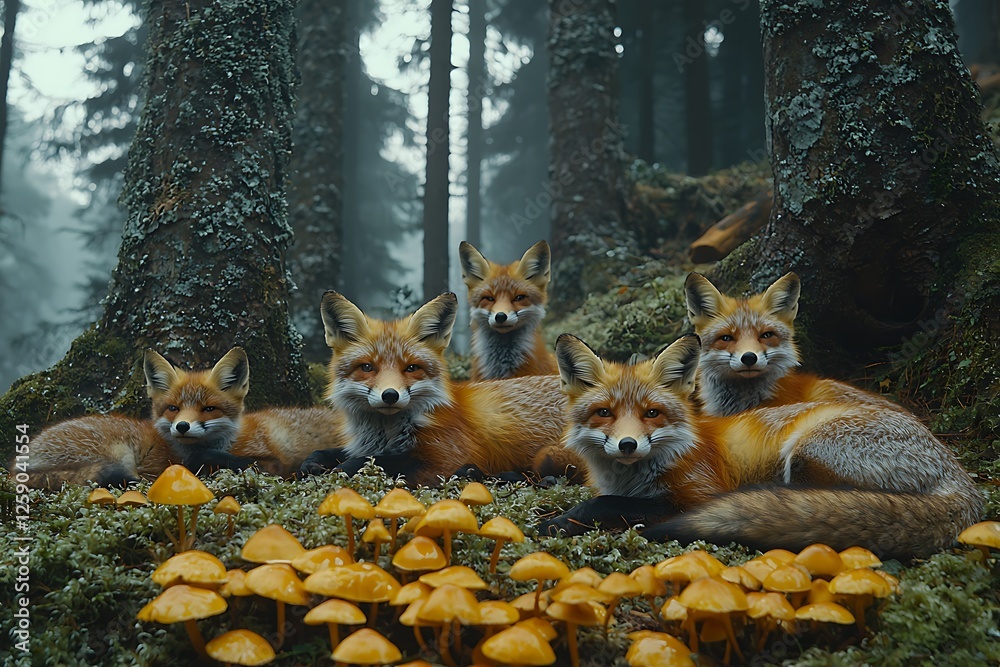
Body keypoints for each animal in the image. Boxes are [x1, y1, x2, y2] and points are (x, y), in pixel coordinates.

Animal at [24, 347, 342, 489]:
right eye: (173, 408)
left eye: (208, 409)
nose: (183, 426)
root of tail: (17, 464)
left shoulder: (269, 459)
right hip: (118, 451)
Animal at [298, 291, 567, 486]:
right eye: (367, 367)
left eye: (411, 368)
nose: (390, 395)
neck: (386, 433)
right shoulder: (365, 445)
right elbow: (332, 451)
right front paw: (311, 463)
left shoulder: (450, 457)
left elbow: (386, 462)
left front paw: (342, 470)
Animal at [539, 334, 983, 559]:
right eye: (604, 413)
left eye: (652, 413)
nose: (628, 445)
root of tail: (962, 477)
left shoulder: (699, 493)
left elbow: (605, 503)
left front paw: (558, 521)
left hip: (805, 452)